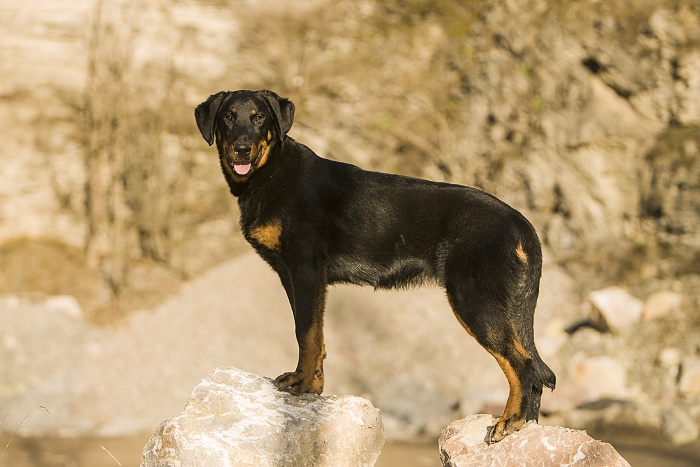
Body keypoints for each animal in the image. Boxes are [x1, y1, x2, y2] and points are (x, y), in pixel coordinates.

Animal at [194, 89, 556, 444]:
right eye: (228, 117)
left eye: (259, 118)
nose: (242, 149)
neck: (271, 173)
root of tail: (520, 223)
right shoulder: (296, 278)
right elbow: (316, 337)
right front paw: (314, 386)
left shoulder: (306, 271)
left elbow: (306, 334)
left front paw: (301, 383)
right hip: (508, 311)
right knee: (535, 374)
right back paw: (525, 427)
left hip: (475, 303)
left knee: (524, 366)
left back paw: (509, 421)